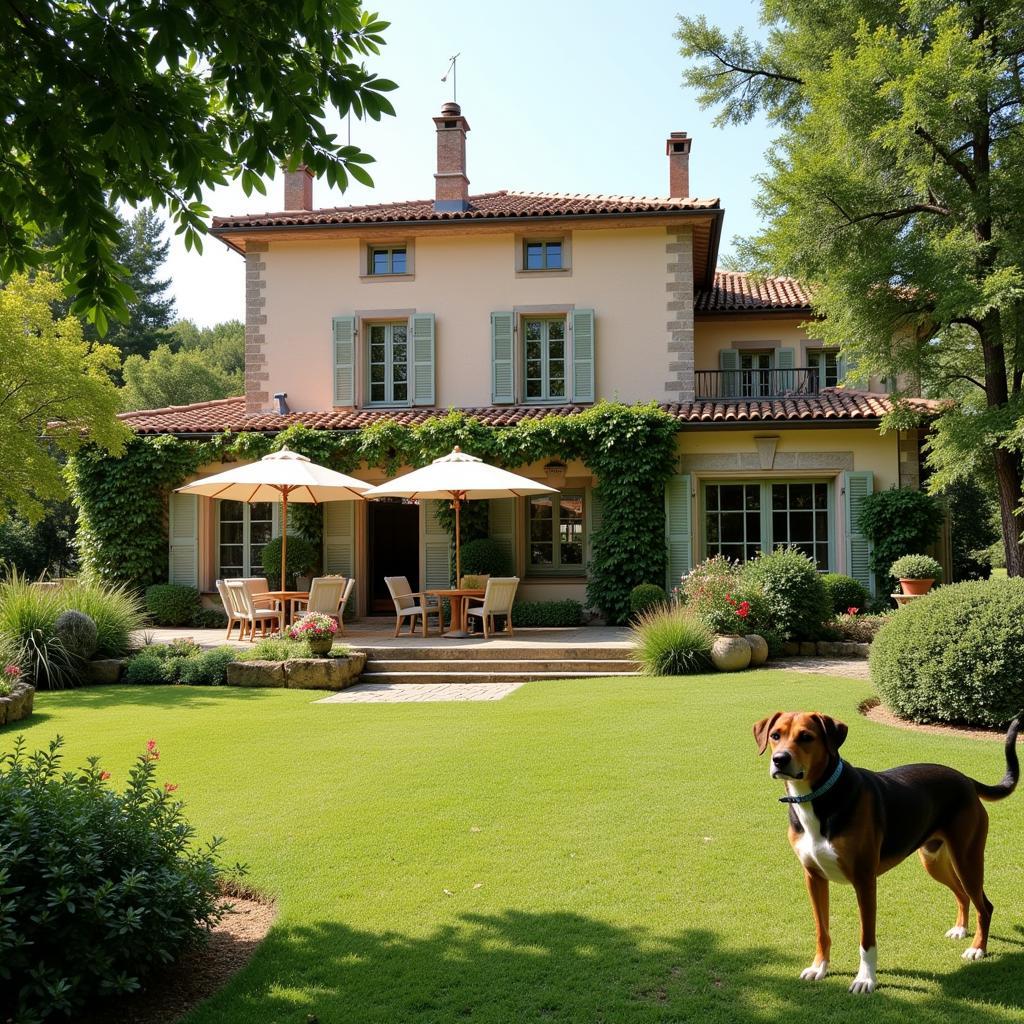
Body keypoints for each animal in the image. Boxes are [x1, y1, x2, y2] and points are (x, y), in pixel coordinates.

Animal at [753, 712, 1015, 991]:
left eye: (806, 737)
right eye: (775, 735)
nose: (780, 759)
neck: (819, 799)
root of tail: (966, 780)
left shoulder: (864, 881)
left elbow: (866, 940)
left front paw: (865, 979)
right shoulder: (813, 878)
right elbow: (822, 930)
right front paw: (819, 967)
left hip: (967, 859)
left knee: (985, 906)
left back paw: (977, 948)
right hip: (933, 860)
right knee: (962, 894)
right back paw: (961, 929)